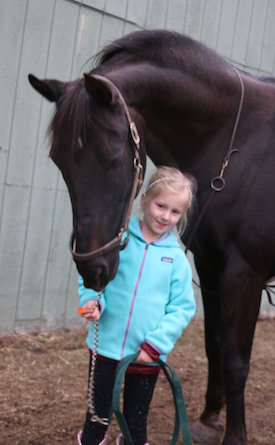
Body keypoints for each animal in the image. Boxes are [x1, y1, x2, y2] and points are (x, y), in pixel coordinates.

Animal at [28, 29, 275, 442]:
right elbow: (215, 345)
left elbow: (236, 360)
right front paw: (210, 417)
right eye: (59, 160)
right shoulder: (210, 267)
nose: (93, 269)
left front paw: (234, 435)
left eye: (112, 155)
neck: (236, 142)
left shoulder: (244, 274)